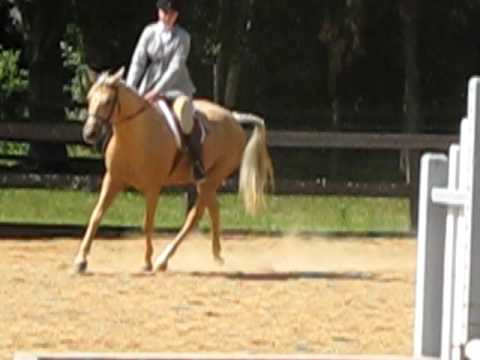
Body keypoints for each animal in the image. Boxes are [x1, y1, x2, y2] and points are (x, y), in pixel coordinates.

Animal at [71, 68, 274, 272]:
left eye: (107, 101)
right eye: (89, 98)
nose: (89, 133)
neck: (136, 135)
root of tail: (234, 118)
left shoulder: (153, 187)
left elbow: (147, 223)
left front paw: (147, 261)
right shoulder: (113, 179)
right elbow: (96, 215)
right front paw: (80, 261)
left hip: (211, 179)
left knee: (194, 216)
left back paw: (163, 259)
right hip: (205, 183)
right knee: (212, 210)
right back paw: (215, 255)